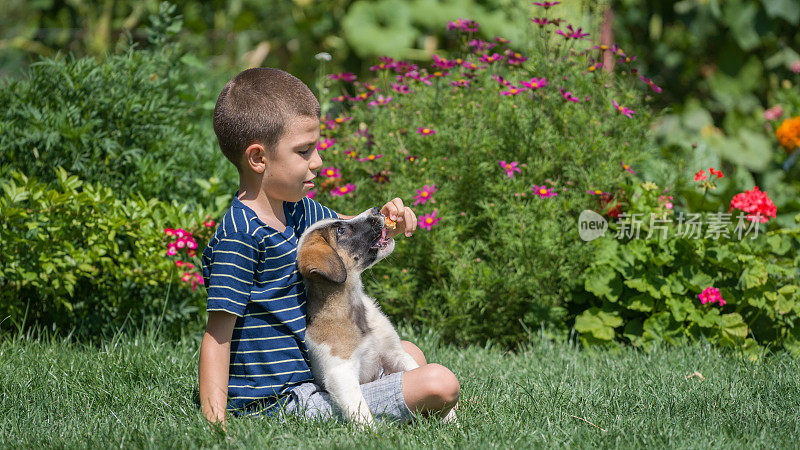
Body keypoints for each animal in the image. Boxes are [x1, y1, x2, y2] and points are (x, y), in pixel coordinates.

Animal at [296, 207, 424, 426]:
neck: (354, 307)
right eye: (340, 230)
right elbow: (362, 413)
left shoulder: (395, 354)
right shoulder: (341, 374)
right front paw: (372, 433)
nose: (376, 209)